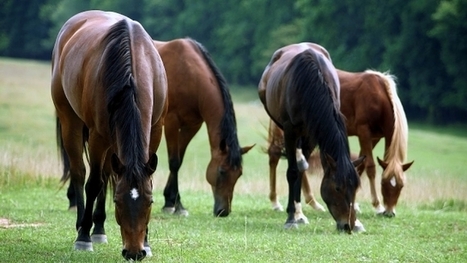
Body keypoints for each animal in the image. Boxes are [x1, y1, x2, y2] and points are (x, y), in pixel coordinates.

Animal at [51, 10, 167, 262]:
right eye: (118, 202)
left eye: (150, 201)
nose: (134, 252)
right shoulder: (97, 136)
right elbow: (93, 183)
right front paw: (83, 237)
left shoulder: (155, 130)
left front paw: (147, 242)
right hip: (71, 121)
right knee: (80, 172)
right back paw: (82, 226)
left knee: (105, 174)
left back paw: (99, 229)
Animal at [154, 37, 254, 219]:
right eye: (222, 171)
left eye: (239, 174)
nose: (223, 211)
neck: (190, 76)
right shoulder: (172, 122)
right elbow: (174, 162)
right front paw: (176, 206)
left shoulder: (192, 126)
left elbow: (180, 160)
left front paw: (170, 201)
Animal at [258, 41, 364, 233]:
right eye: (337, 188)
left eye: (355, 188)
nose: (348, 225)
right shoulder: (290, 131)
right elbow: (292, 172)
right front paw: (292, 218)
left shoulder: (313, 133)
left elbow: (301, 170)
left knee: (302, 166)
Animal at [268, 68, 414, 219]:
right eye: (383, 183)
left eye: (401, 186)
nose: (390, 212)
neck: (379, 96)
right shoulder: (364, 132)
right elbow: (370, 167)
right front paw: (377, 206)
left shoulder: (375, 137)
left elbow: (359, 166)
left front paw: (354, 204)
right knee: (275, 155)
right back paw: (276, 202)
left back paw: (312, 203)